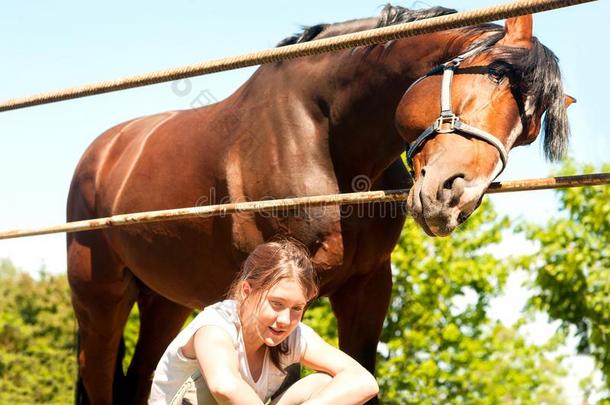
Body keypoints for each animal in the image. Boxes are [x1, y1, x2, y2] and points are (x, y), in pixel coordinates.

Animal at [66, 4, 568, 402]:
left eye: (525, 134)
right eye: (492, 77)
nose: (451, 197)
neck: (323, 132)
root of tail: (105, 152)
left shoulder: (367, 287)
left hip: (165, 302)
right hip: (101, 300)